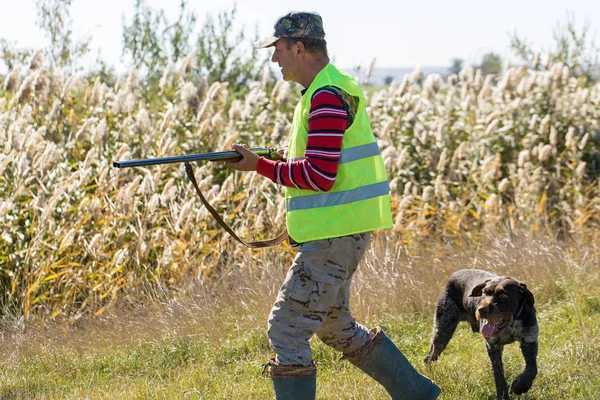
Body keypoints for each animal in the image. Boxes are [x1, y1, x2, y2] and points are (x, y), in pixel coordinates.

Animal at [422, 268, 540, 400]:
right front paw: (504, 395)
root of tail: (453, 275)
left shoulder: (529, 340)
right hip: (442, 331)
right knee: (429, 358)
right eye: (485, 293)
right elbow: (499, 376)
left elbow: (532, 369)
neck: (510, 323)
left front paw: (520, 386)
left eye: (503, 295)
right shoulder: (493, 347)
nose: (481, 310)